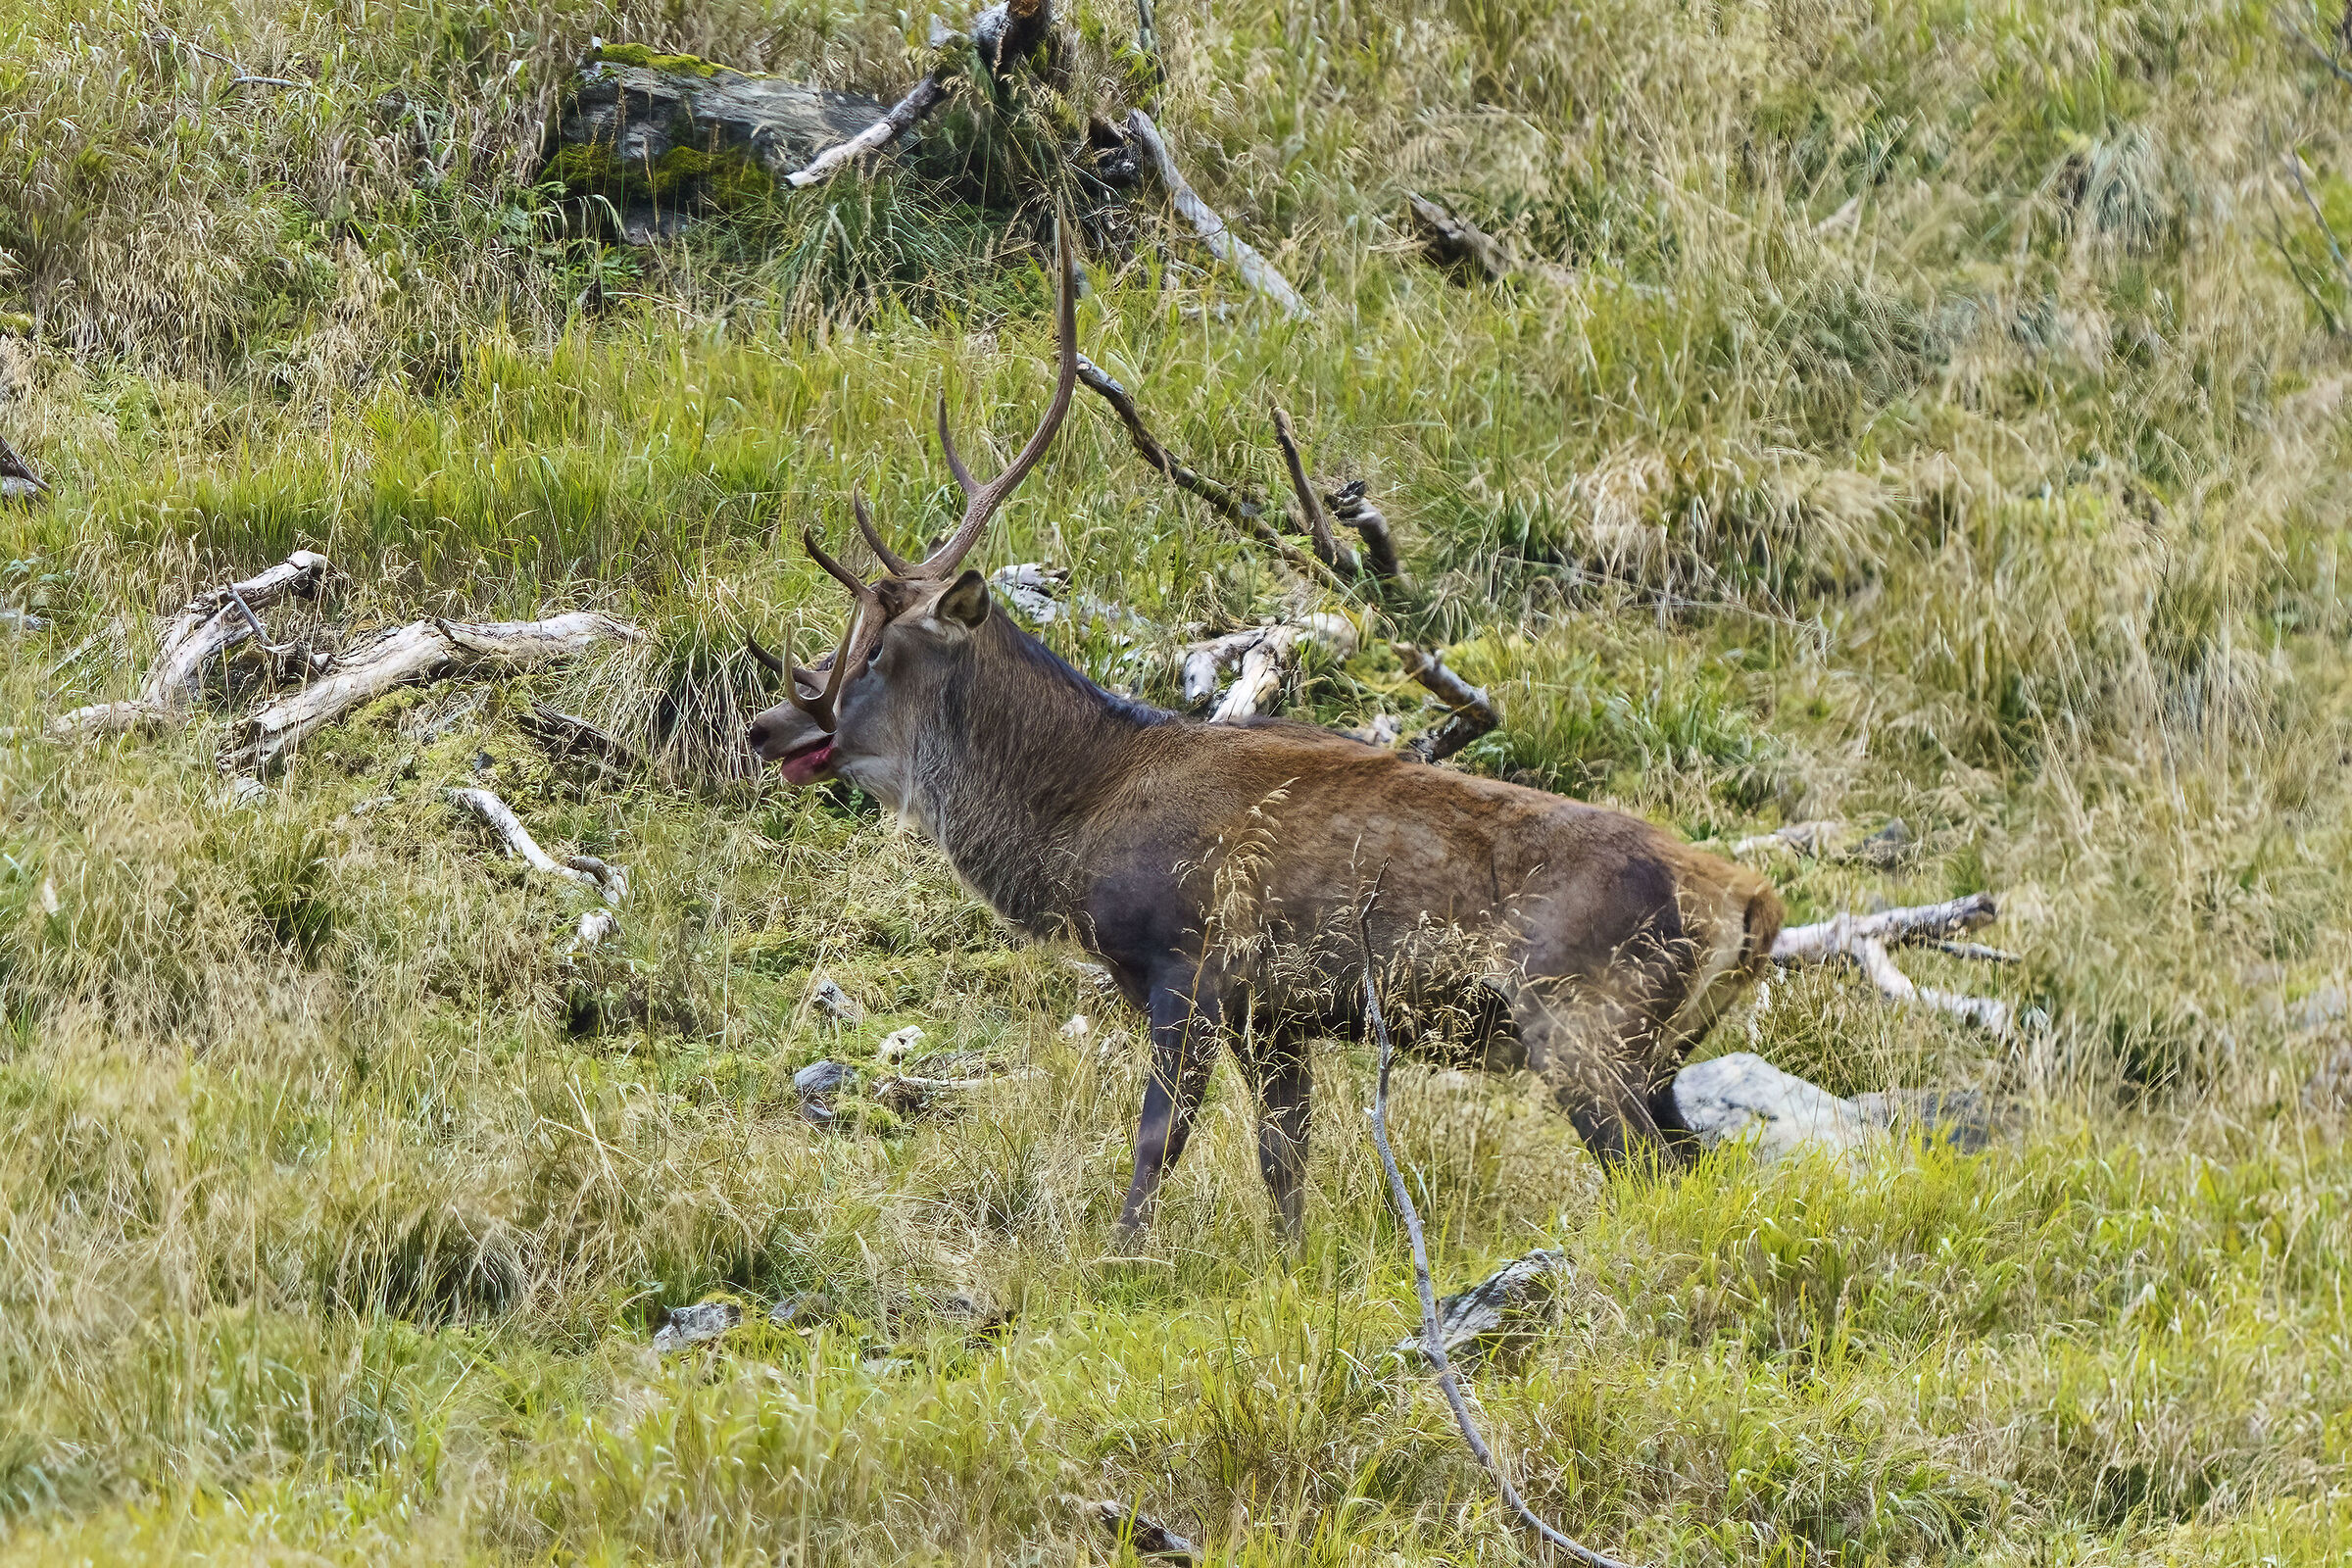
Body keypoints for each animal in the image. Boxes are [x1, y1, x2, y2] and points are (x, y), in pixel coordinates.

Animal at [744, 229, 1782, 1239]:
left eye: (873, 652)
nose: (764, 725)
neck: (1079, 823)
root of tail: (1748, 902)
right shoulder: (1277, 1015)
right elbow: (1285, 1164)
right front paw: (1287, 1265)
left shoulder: (1189, 964)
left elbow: (1159, 1141)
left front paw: (1122, 1258)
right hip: (1652, 1051)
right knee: (1695, 1166)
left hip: (1586, 1023)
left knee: (1652, 1177)